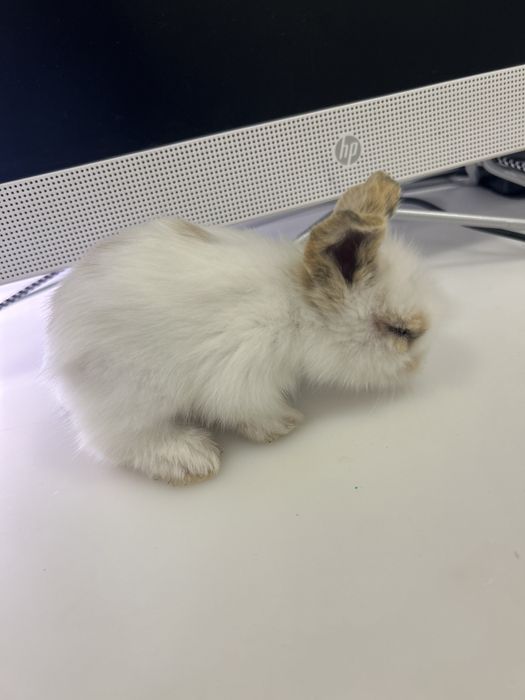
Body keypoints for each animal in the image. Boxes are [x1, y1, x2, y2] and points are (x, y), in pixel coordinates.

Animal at [47, 171, 436, 484]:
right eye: (400, 331)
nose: (418, 367)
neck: (296, 312)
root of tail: (57, 348)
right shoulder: (242, 373)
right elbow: (247, 409)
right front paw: (284, 424)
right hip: (132, 393)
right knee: (115, 441)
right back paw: (191, 458)